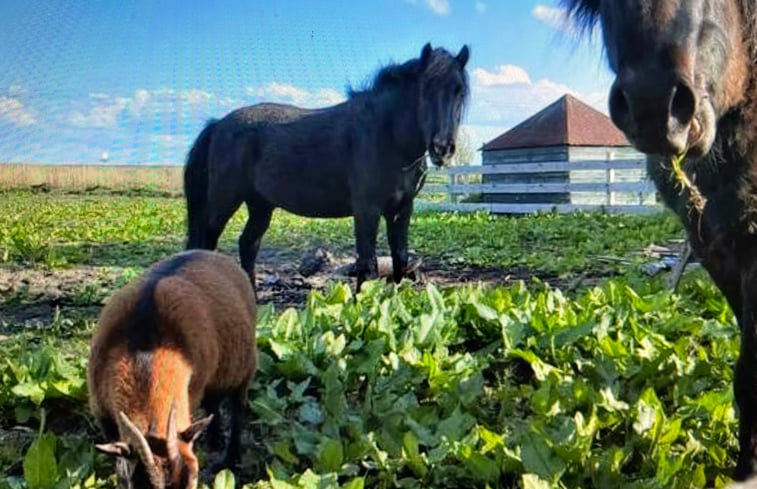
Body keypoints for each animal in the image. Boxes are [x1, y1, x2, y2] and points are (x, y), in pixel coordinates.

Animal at [88, 250, 256, 486]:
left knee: (237, 407)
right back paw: (214, 439)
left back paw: (231, 458)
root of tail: (214, 254)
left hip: (245, 367)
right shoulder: (103, 415)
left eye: (194, 479)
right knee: (213, 403)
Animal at [183, 43, 466, 290]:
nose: (442, 147)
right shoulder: (367, 210)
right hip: (224, 202)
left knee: (248, 245)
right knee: (207, 244)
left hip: (261, 205)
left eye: (459, 91)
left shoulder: (402, 208)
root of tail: (218, 124)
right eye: (425, 88)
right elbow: (367, 264)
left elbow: (400, 259)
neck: (385, 137)